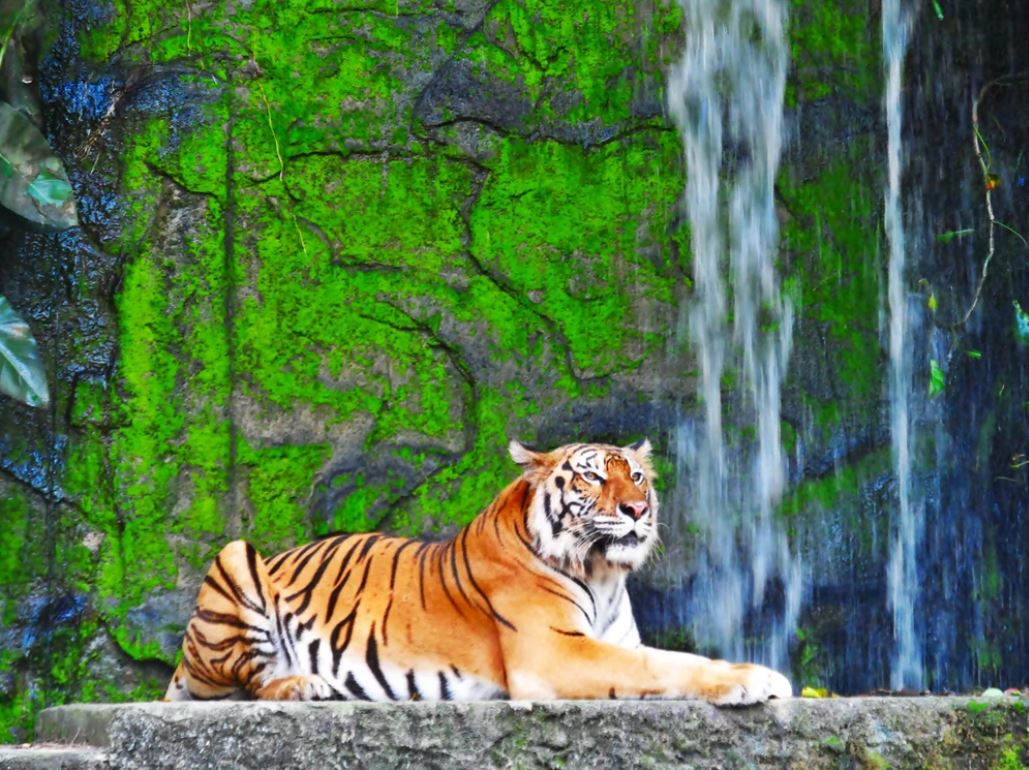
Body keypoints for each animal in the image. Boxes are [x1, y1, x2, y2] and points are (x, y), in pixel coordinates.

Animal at [165, 439, 792, 704]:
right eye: (592, 477)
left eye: (636, 476)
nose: (637, 510)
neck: (604, 572)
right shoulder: (554, 652)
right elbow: (664, 666)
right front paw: (755, 678)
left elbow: (665, 659)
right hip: (235, 556)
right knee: (247, 685)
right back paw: (304, 684)